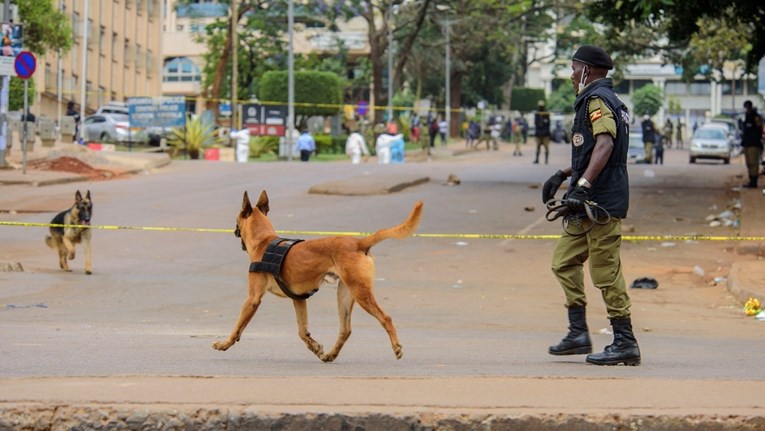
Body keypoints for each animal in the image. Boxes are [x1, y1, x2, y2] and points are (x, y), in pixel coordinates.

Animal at [210, 191, 424, 362]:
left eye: (236, 220)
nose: (234, 231)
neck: (265, 242)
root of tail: (359, 243)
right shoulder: (298, 300)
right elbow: (302, 331)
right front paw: (316, 347)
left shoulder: (252, 299)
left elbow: (238, 326)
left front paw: (224, 344)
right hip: (344, 295)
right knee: (345, 330)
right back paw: (330, 354)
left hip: (360, 293)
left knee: (385, 317)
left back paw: (396, 347)